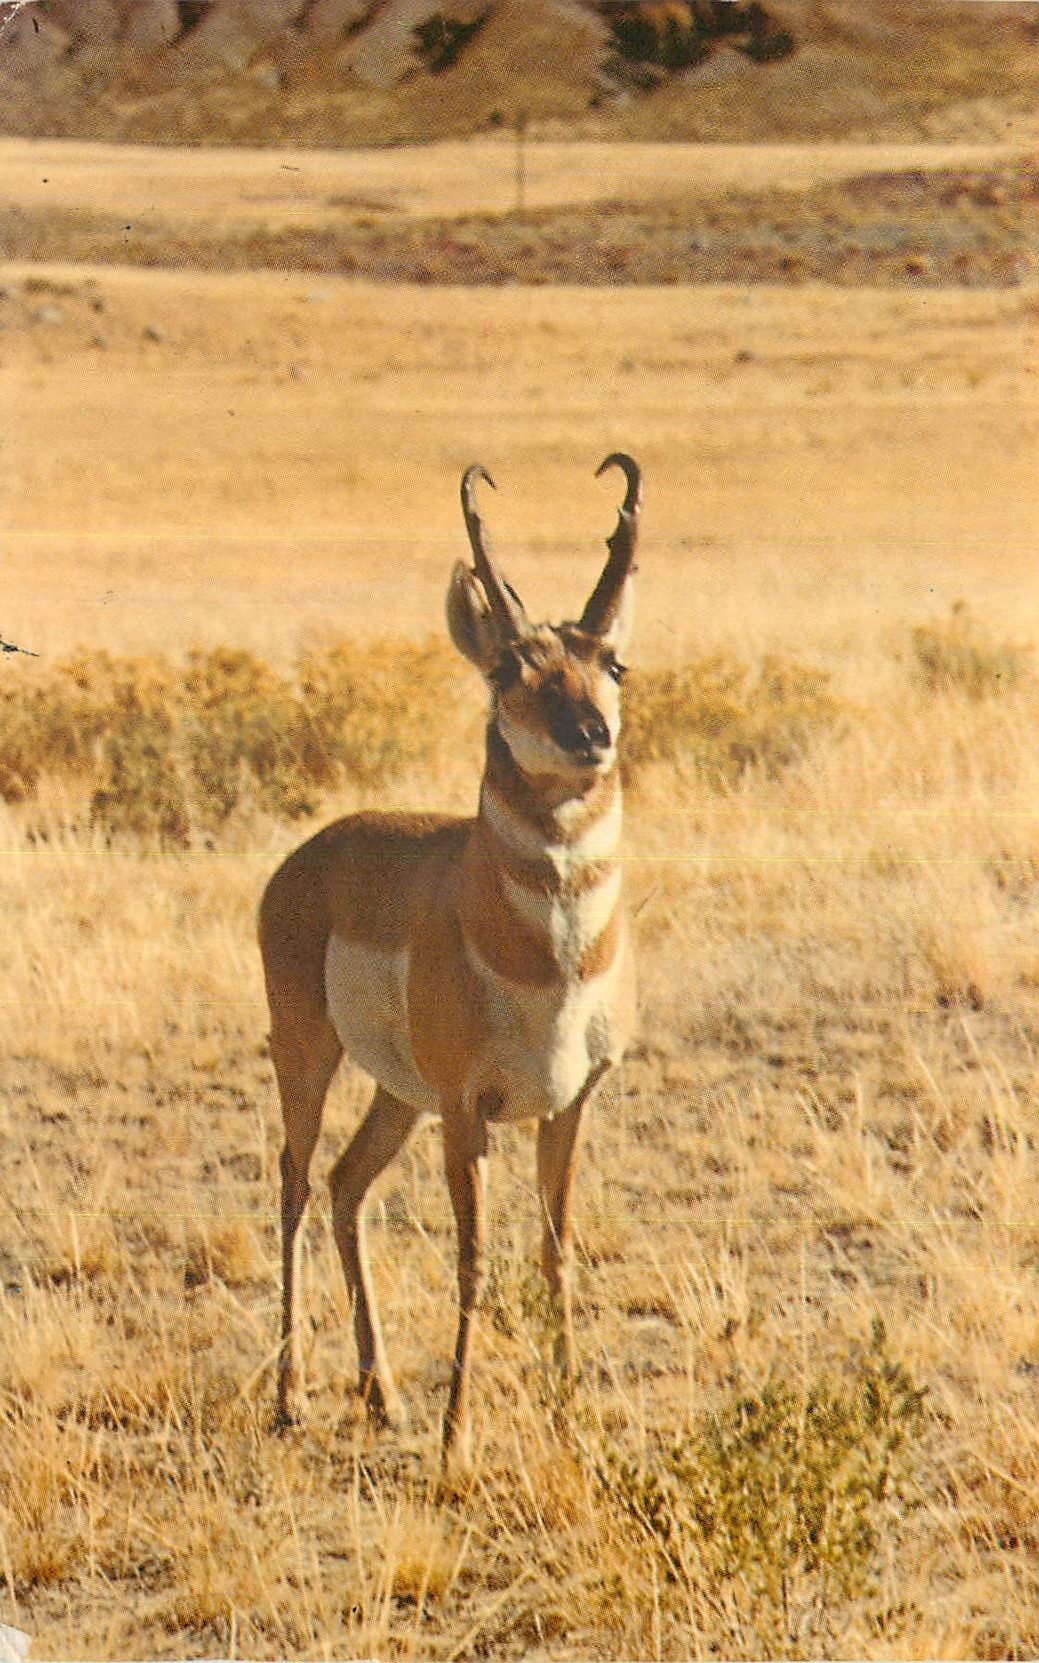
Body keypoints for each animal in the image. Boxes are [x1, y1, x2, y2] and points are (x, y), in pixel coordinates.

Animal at [259, 454, 641, 1472]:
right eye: (510, 667)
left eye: (612, 661)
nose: (591, 737)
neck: (547, 961)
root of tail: (309, 856)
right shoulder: (469, 1112)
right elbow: (472, 1260)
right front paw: (457, 1436)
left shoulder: (568, 1104)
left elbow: (554, 1250)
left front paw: (569, 1417)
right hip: (310, 1059)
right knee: (296, 1181)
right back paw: (291, 1398)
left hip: (400, 1095)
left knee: (347, 1184)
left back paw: (382, 1394)